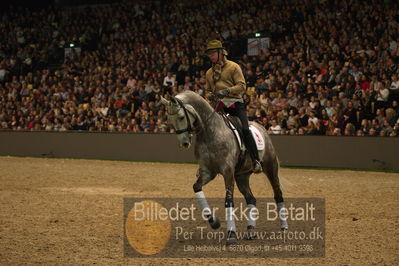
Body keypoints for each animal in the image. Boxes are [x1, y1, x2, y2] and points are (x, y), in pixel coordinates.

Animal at [159, 91, 288, 245]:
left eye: (181, 117)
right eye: (169, 119)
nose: (184, 143)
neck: (210, 132)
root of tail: (262, 127)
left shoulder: (227, 172)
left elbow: (228, 201)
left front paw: (231, 235)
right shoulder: (208, 172)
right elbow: (197, 187)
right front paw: (214, 222)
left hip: (271, 168)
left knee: (278, 194)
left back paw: (284, 228)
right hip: (241, 176)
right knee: (251, 199)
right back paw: (251, 231)